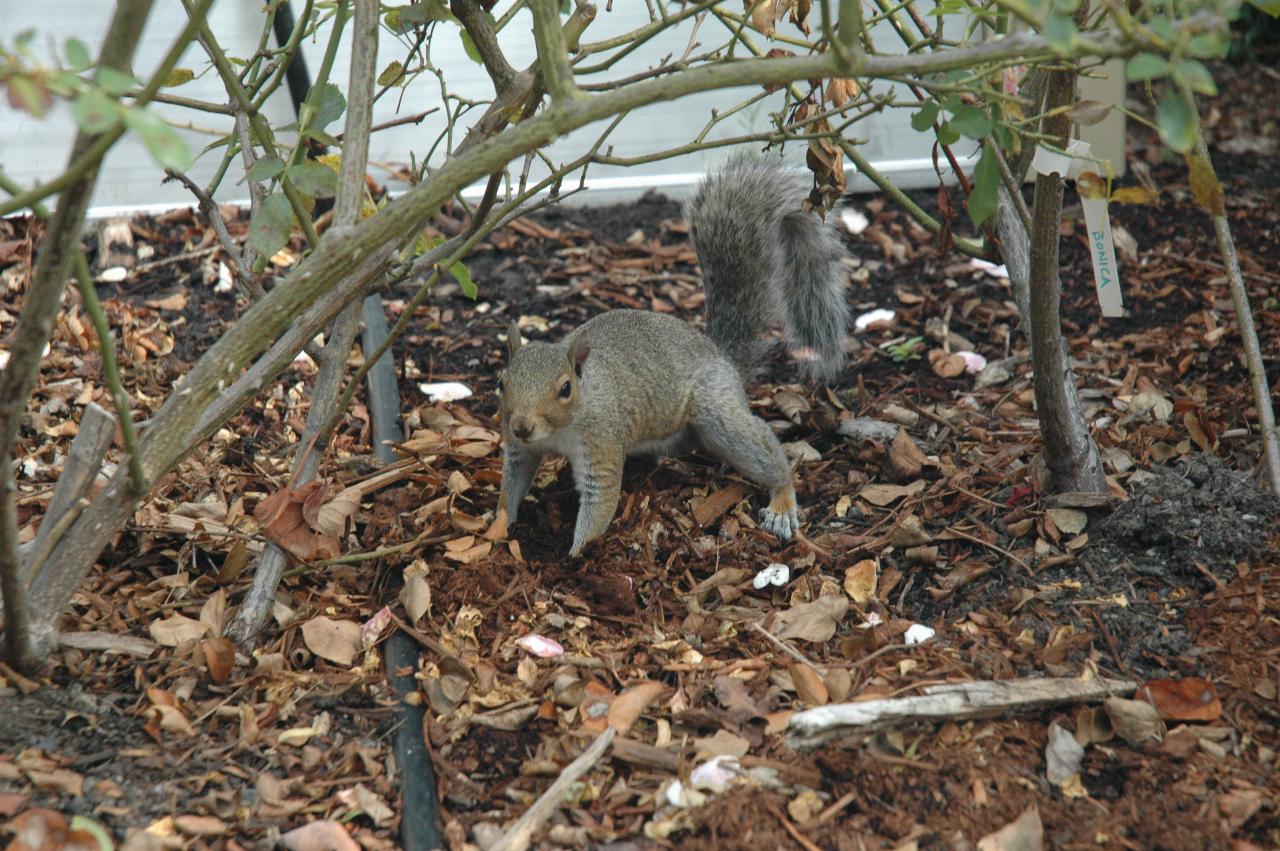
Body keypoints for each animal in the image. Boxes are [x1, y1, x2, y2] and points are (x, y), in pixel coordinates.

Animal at [499, 154, 849, 557]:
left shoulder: (601, 440)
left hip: (716, 410)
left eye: (565, 389)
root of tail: (722, 357)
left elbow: (599, 500)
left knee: (764, 449)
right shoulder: (519, 448)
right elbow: (513, 481)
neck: (559, 430)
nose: (522, 425)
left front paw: (576, 554)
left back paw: (781, 500)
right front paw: (497, 528)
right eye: (501, 382)